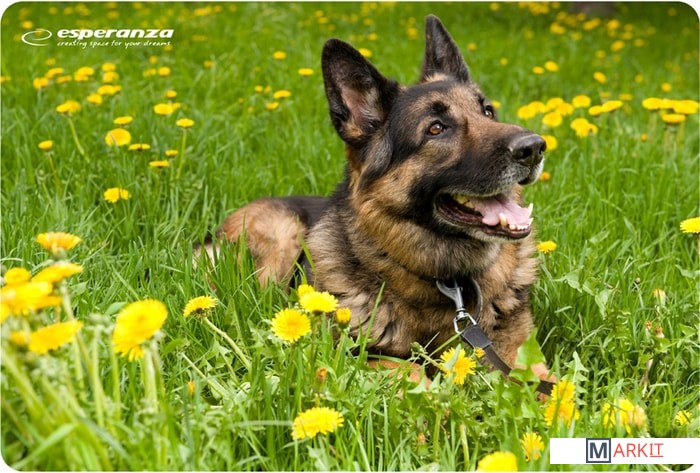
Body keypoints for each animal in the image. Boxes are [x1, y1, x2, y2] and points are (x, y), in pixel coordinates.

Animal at [200, 15, 547, 374]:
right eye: (436, 128)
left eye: (488, 112)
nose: (535, 147)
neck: (452, 284)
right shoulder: (357, 354)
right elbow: (413, 370)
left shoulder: (520, 351)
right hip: (282, 237)